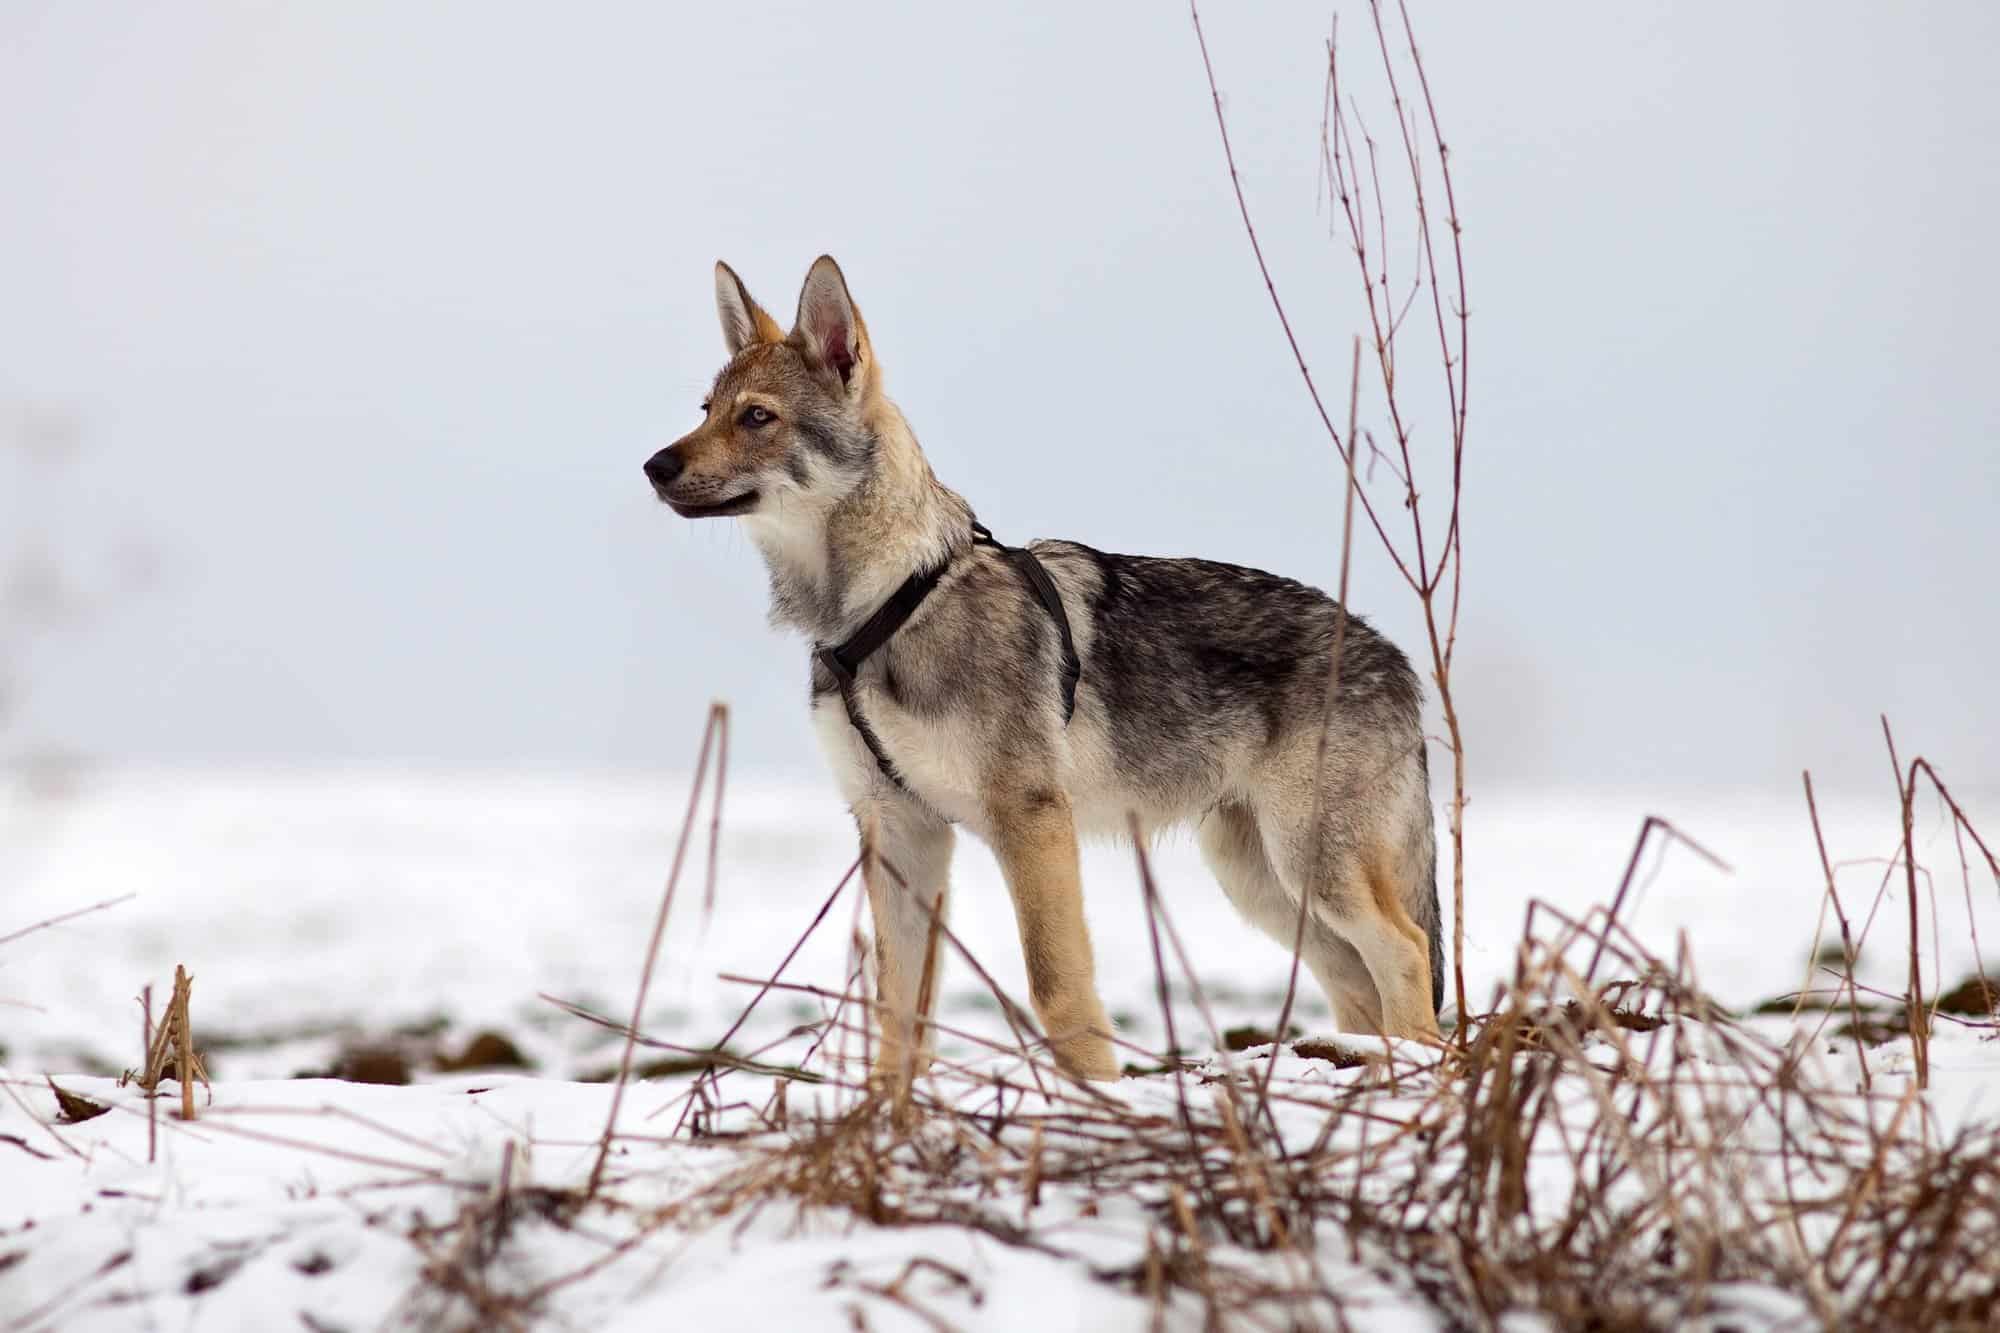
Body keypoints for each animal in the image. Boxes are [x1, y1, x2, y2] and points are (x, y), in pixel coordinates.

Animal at [645, 256, 1443, 1086]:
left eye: (757, 417)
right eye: (706, 410)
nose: (654, 465)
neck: (882, 610)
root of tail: (1395, 654)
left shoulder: (1029, 821)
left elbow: (1056, 986)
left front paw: (1097, 1092)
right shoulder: (898, 828)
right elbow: (896, 1008)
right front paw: (888, 1107)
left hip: (1313, 868)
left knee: (1406, 950)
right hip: (1266, 884)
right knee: (1356, 980)